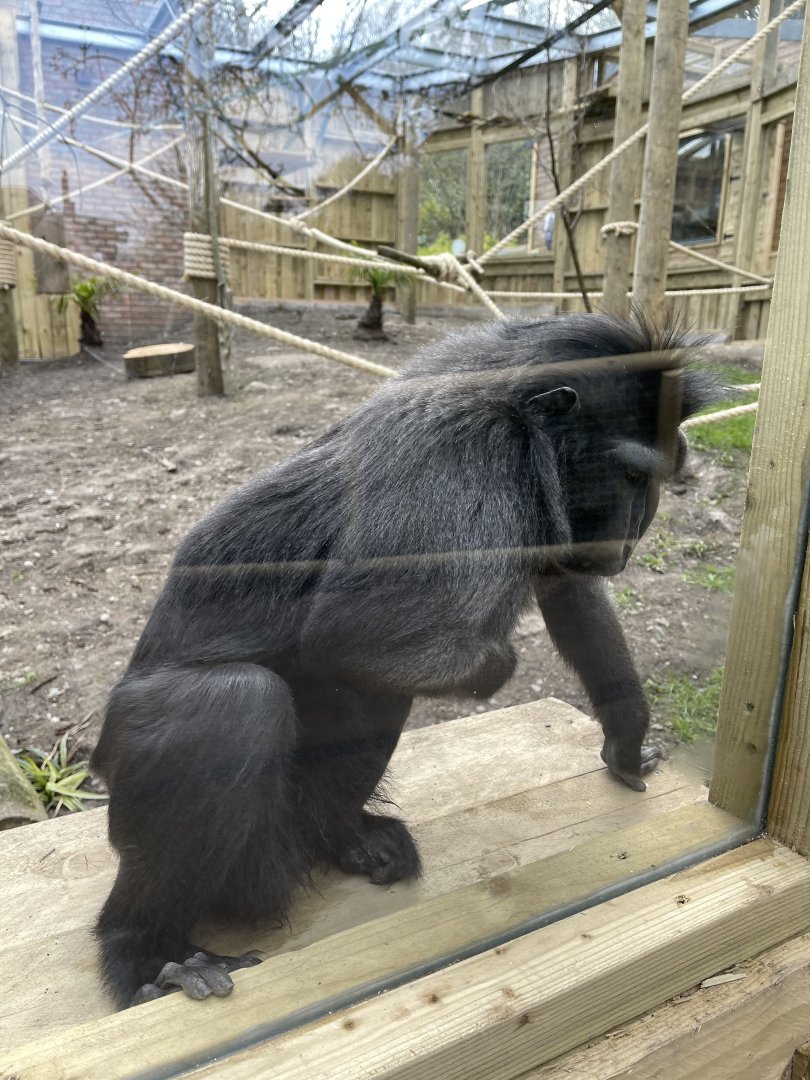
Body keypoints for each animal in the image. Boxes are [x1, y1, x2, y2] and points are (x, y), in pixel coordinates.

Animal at [90, 311, 716, 1008]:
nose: (632, 533)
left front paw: (626, 739)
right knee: (236, 702)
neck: (520, 407)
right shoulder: (469, 455)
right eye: (633, 477)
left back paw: (344, 838)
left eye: (657, 483)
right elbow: (349, 634)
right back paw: (145, 951)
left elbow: (568, 588)